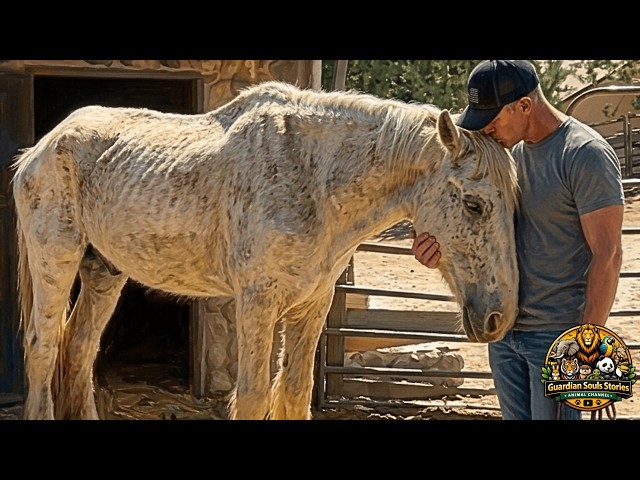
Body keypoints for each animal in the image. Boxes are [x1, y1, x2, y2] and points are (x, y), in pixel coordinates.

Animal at [12, 80, 519, 420]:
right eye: (474, 204)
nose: (500, 317)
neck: (315, 181)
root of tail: (40, 149)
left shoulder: (312, 305)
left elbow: (293, 392)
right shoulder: (257, 303)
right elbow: (254, 395)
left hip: (104, 271)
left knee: (79, 348)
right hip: (56, 259)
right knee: (42, 347)